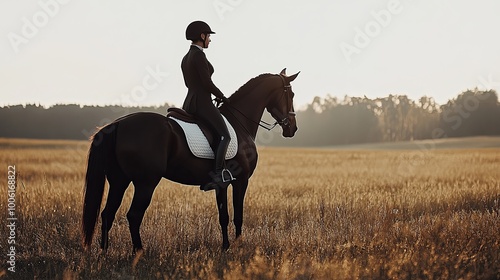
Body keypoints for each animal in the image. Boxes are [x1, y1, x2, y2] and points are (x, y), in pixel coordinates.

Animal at [82, 68, 300, 254]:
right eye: (291, 94)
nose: (292, 129)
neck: (240, 123)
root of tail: (118, 124)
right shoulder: (241, 180)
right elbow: (238, 216)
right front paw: (239, 246)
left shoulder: (222, 183)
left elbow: (223, 216)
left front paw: (226, 247)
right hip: (146, 182)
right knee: (134, 215)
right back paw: (139, 252)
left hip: (119, 180)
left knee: (107, 214)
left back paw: (104, 252)